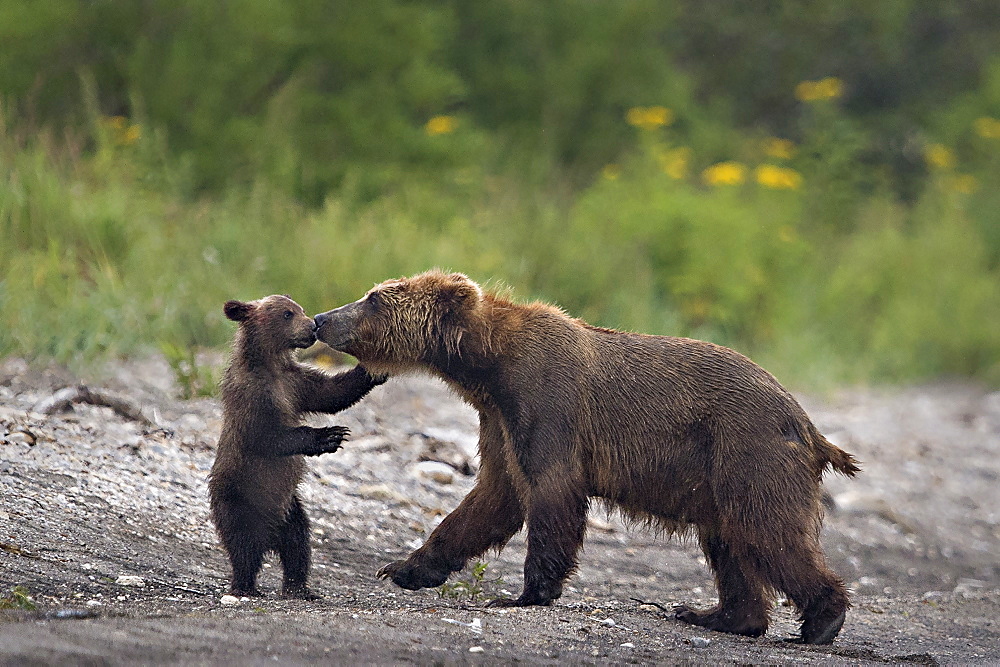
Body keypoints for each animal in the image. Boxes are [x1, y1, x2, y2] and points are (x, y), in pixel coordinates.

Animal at [314, 268, 860, 644]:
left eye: (374, 298)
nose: (321, 318)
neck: (488, 366)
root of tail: (808, 424)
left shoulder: (546, 401)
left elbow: (551, 490)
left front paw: (526, 592)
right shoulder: (499, 420)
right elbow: (492, 497)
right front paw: (405, 568)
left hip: (747, 449)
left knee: (768, 530)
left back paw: (821, 619)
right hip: (717, 474)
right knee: (729, 540)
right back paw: (715, 614)